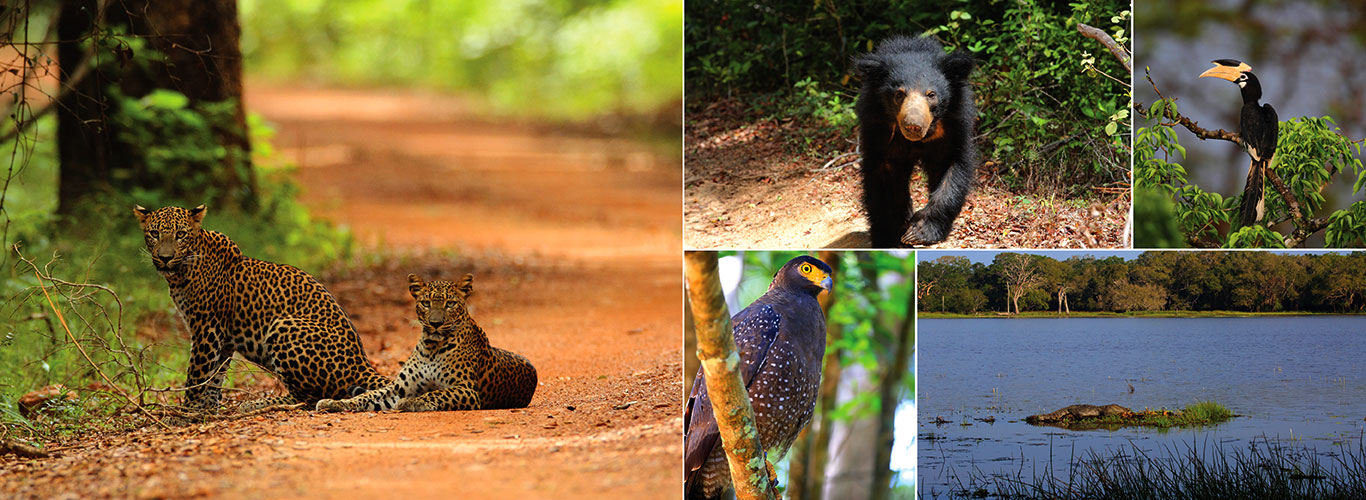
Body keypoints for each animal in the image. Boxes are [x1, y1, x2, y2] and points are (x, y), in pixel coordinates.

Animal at [135, 204, 390, 407]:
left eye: (180, 234)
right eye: (154, 233)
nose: (165, 257)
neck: (181, 273)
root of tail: (361, 362)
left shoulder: (207, 329)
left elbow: (197, 376)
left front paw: (184, 414)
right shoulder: (223, 339)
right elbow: (215, 377)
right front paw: (207, 409)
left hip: (283, 326)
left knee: (308, 397)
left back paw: (258, 403)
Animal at [316, 275, 535, 412]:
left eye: (450, 304)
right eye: (426, 303)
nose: (435, 323)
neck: (432, 347)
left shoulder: (466, 389)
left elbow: (436, 394)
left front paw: (411, 402)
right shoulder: (397, 388)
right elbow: (367, 396)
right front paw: (335, 403)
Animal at [846, 34, 978, 247]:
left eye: (931, 94)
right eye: (899, 94)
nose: (913, 126)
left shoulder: (953, 125)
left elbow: (951, 173)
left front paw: (919, 231)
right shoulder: (878, 128)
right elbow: (883, 180)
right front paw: (889, 236)